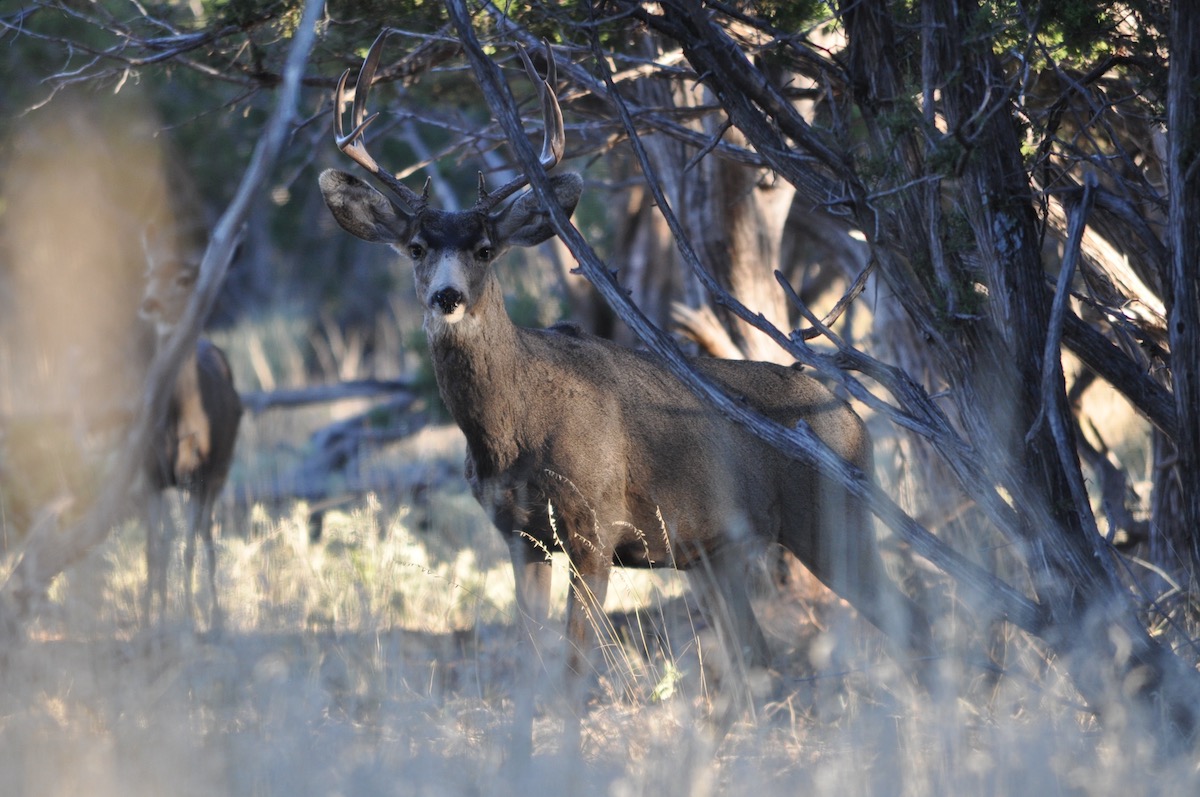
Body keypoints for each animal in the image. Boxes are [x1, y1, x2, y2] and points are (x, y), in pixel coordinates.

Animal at [138, 226, 241, 633]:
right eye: (149, 273)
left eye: (184, 279)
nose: (148, 302)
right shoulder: (152, 475)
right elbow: (155, 549)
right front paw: (151, 621)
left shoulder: (197, 472)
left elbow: (187, 548)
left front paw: (184, 619)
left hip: (220, 471)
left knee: (207, 535)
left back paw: (214, 614)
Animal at [316, 31, 926, 753]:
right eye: (415, 246)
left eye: (486, 248)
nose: (447, 297)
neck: (512, 427)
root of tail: (855, 419)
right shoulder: (519, 533)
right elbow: (529, 663)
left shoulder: (595, 523)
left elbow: (575, 669)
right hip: (715, 552)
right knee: (759, 655)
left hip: (832, 516)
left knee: (910, 616)